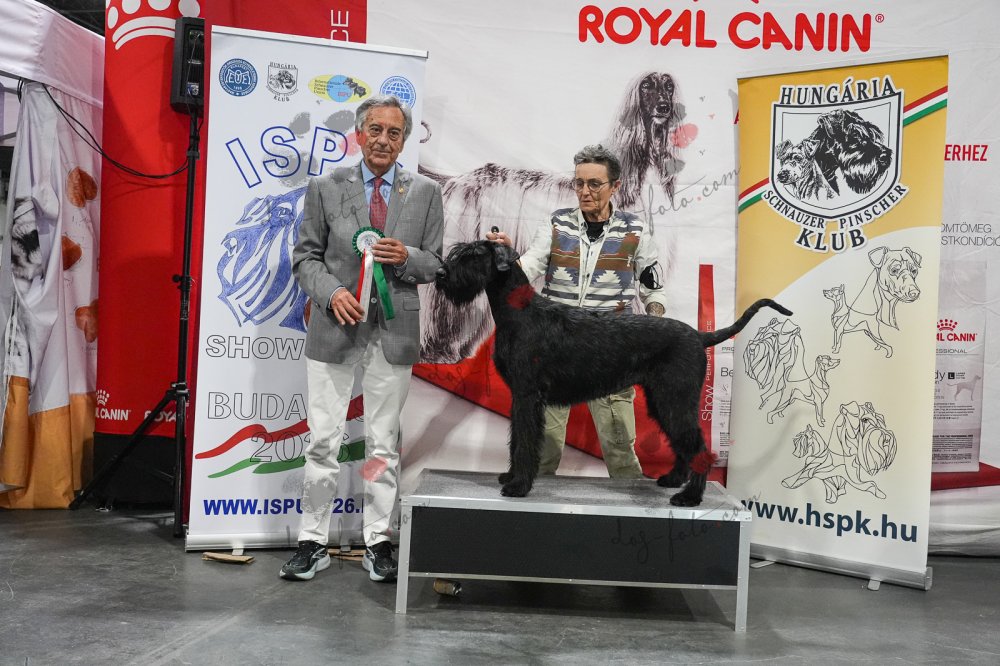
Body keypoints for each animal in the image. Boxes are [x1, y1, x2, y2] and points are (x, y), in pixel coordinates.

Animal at [434, 240, 791, 506]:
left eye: (473, 255)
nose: (440, 273)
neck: (518, 313)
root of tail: (699, 336)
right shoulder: (521, 397)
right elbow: (516, 440)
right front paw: (510, 476)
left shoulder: (526, 395)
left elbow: (523, 440)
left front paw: (517, 486)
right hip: (663, 401)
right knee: (682, 443)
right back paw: (673, 479)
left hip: (675, 399)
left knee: (697, 445)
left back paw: (689, 496)